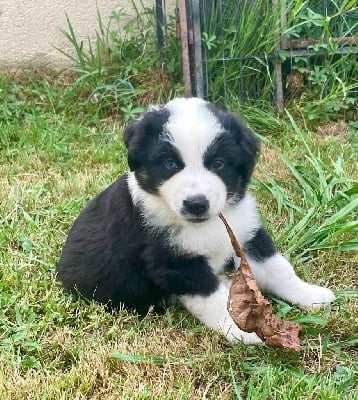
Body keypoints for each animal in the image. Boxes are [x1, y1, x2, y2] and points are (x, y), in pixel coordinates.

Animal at [56, 97, 336, 344]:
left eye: (219, 163)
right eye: (169, 164)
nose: (196, 204)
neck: (206, 224)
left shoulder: (244, 233)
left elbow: (279, 269)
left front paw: (310, 294)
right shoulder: (175, 263)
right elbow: (215, 300)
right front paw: (242, 332)